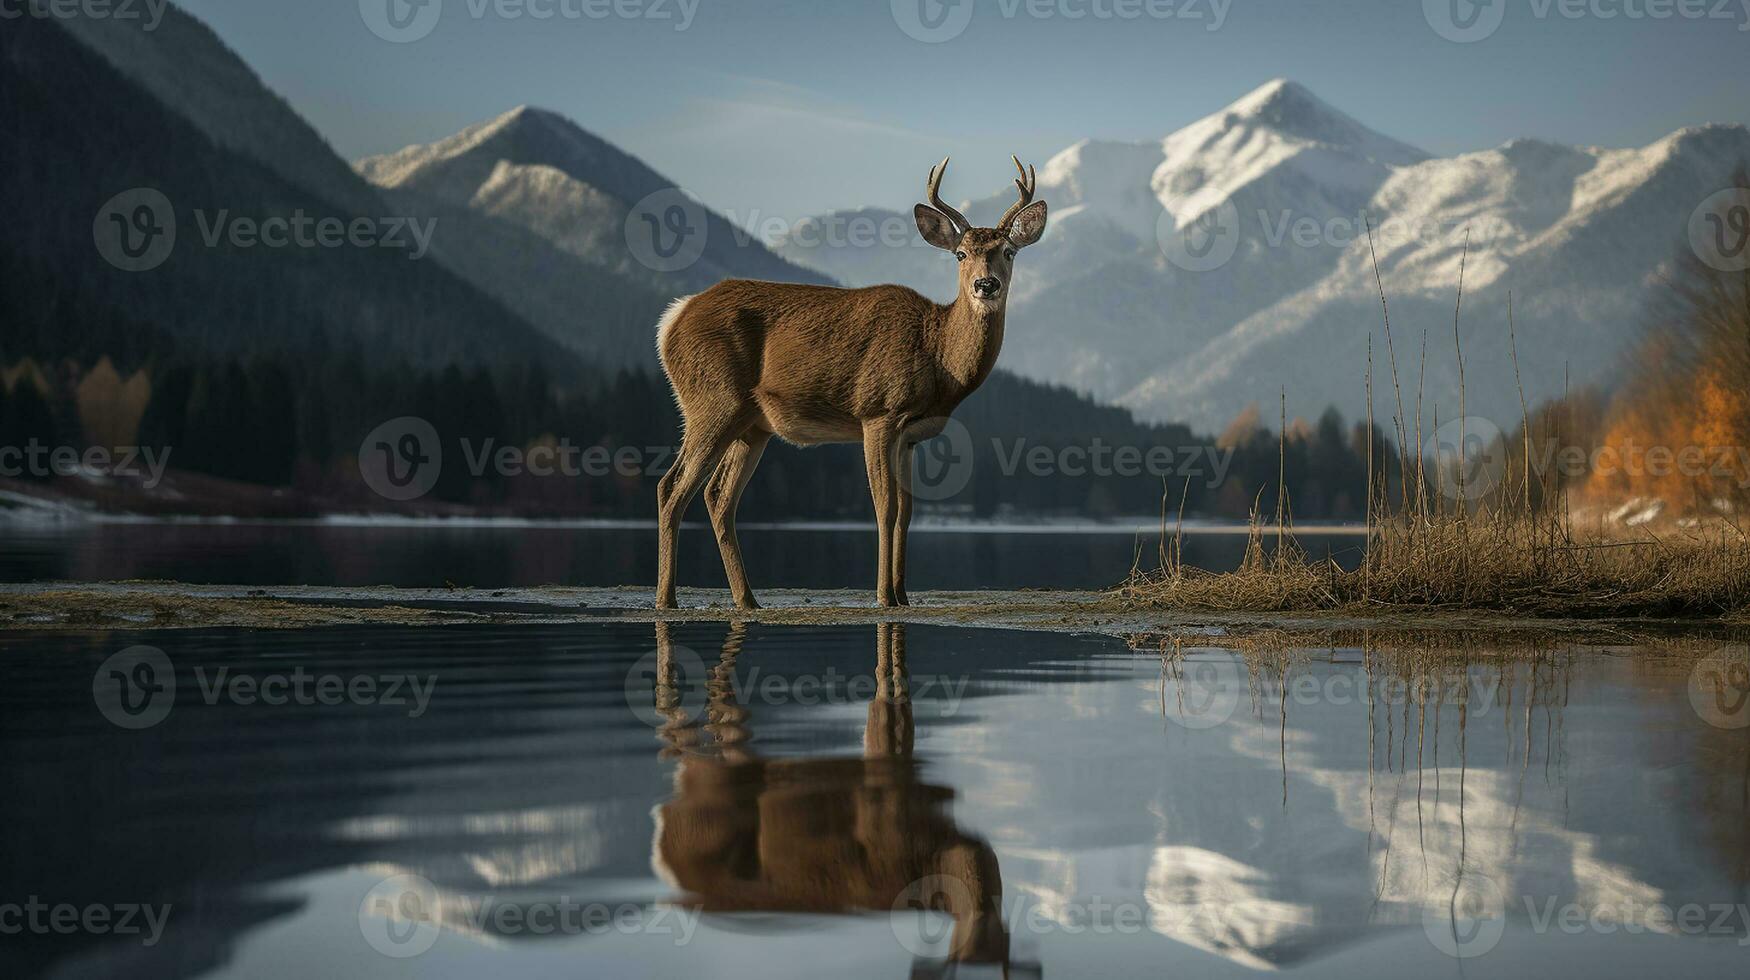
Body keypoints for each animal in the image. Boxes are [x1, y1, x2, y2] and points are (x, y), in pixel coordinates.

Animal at [654, 156, 1036, 609]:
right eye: (960, 254)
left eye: (1008, 252)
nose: (985, 284)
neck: (938, 356)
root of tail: (672, 320)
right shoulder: (878, 412)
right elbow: (885, 506)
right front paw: (884, 596)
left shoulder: (910, 436)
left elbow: (908, 511)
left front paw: (903, 595)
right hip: (711, 401)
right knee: (671, 486)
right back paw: (667, 598)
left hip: (752, 425)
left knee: (718, 496)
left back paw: (747, 598)